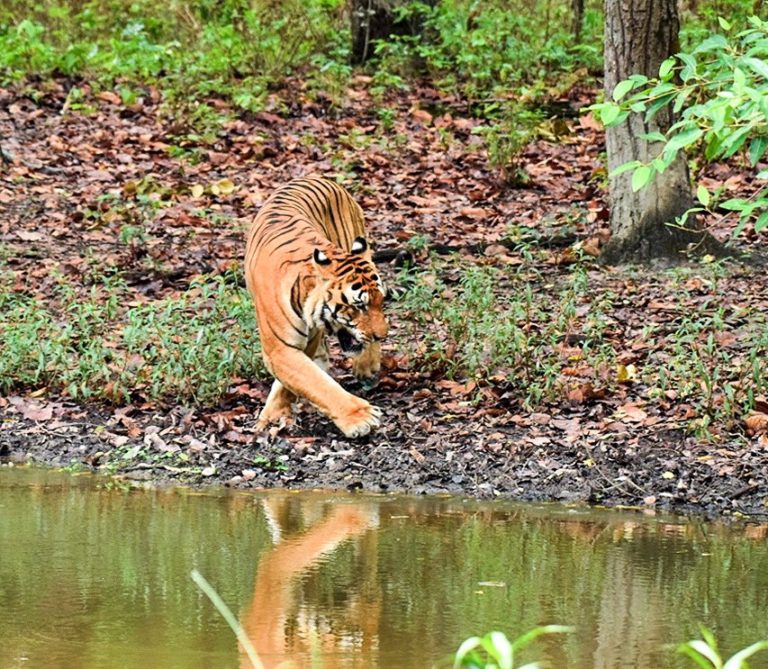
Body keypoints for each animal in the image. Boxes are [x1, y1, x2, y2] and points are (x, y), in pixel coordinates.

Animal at [246, 177, 388, 438]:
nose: (381, 336)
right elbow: (314, 381)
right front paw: (361, 417)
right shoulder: (280, 349)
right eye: (359, 306)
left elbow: (304, 381)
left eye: (380, 301)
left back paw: (366, 366)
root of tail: (317, 177)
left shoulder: (307, 339)